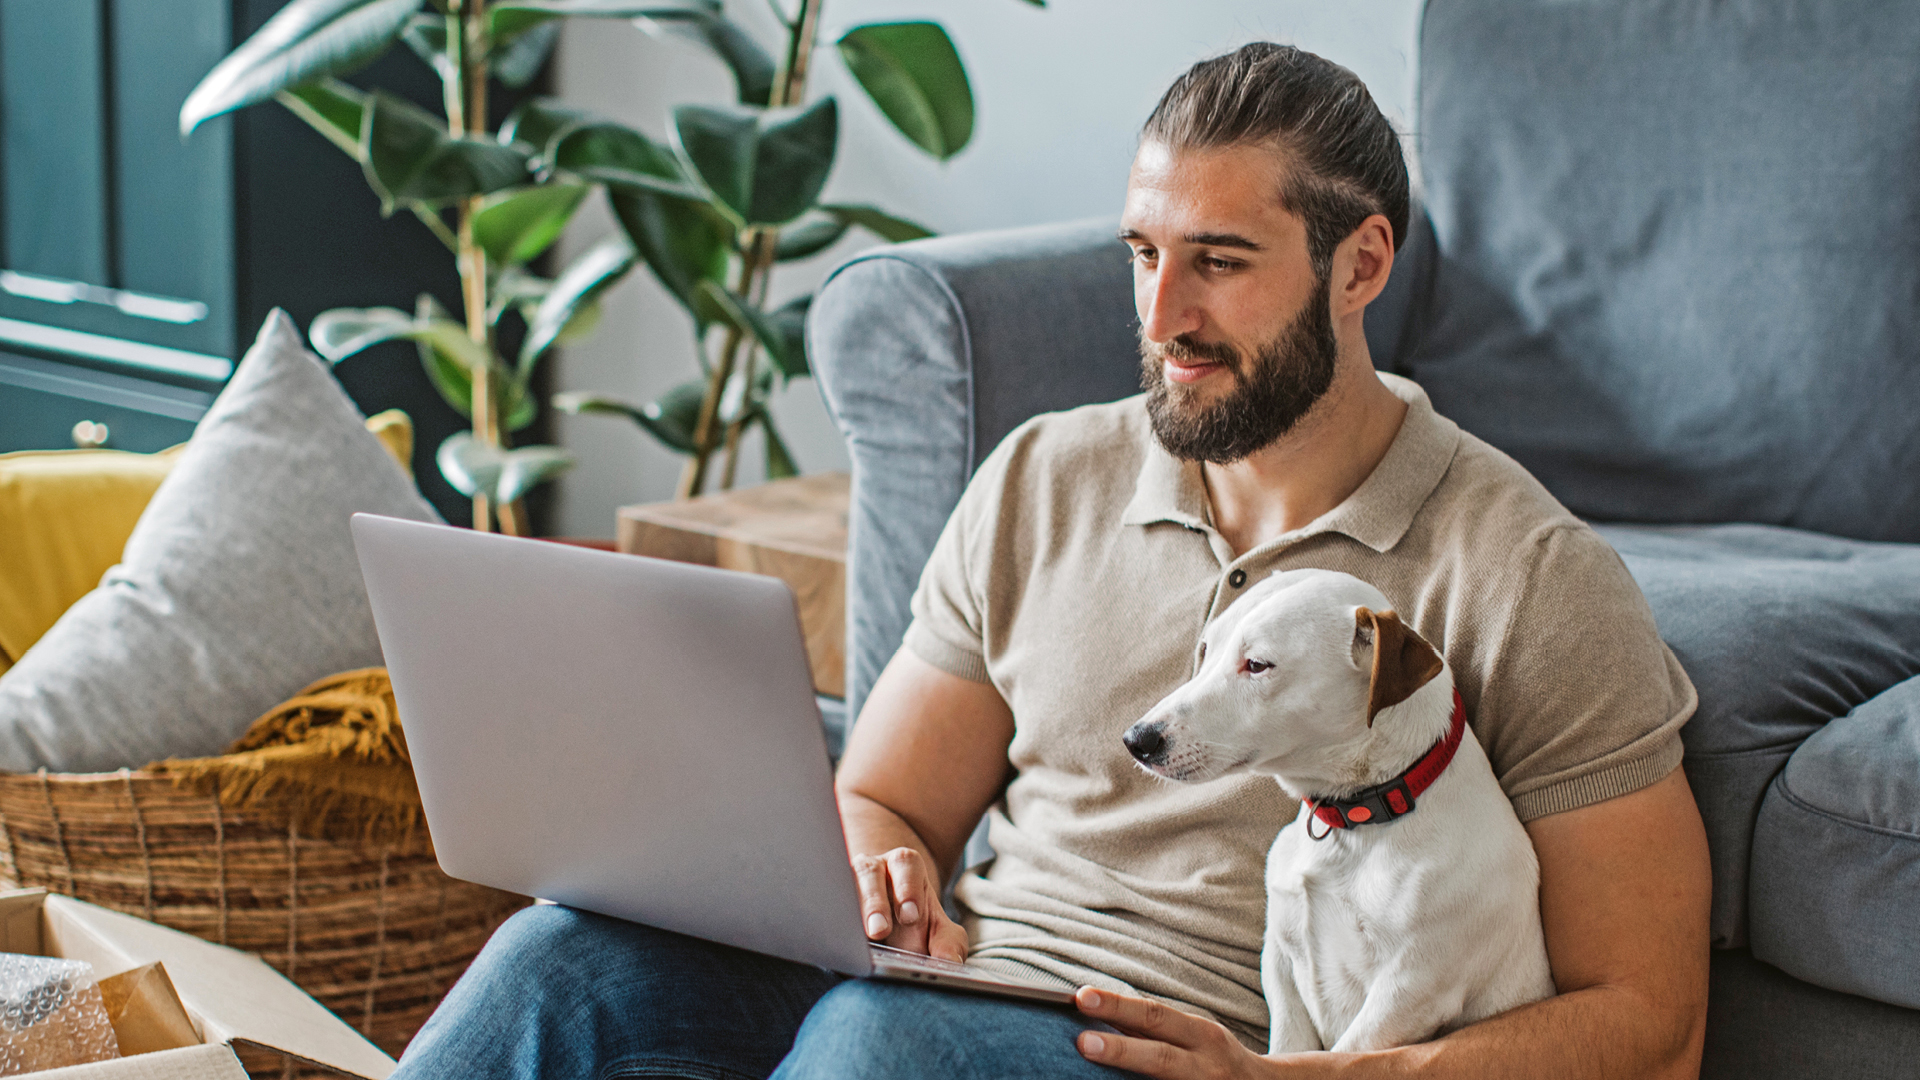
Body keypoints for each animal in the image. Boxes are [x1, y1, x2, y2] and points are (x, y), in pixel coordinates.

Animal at [1121, 568, 1559, 1045]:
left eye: (1257, 665)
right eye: (1207, 649)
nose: (1137, 739)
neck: (1360, 818)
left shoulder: (1411, 990)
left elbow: (1348, 1048)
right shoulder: (1279, 957)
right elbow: (1290, 1045)